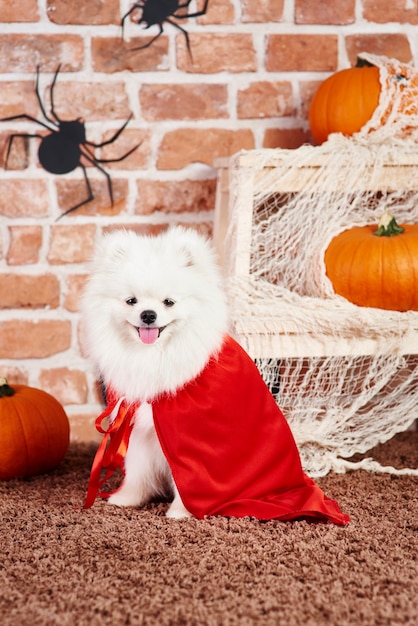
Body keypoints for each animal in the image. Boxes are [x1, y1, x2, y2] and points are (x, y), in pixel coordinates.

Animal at [81, 224, 229, 516]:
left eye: (169, 302)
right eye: (131, 301)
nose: (148, 314)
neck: (153, 355)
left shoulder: (189, 443)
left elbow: (189, 482)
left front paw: (181, 513)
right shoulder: (140, 431)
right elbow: (138, 471)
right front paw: (128, 499)